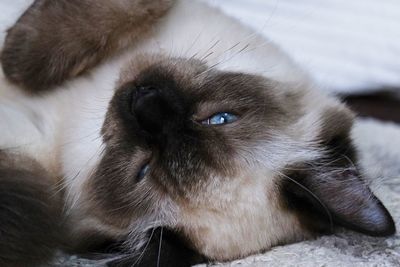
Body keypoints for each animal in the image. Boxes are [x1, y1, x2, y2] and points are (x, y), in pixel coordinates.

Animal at [0, 0, 396, 267]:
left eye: (143, 169)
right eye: (220, 119)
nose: (145, 104)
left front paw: (14, 60)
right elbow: (127, 11)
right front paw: (22, 61)